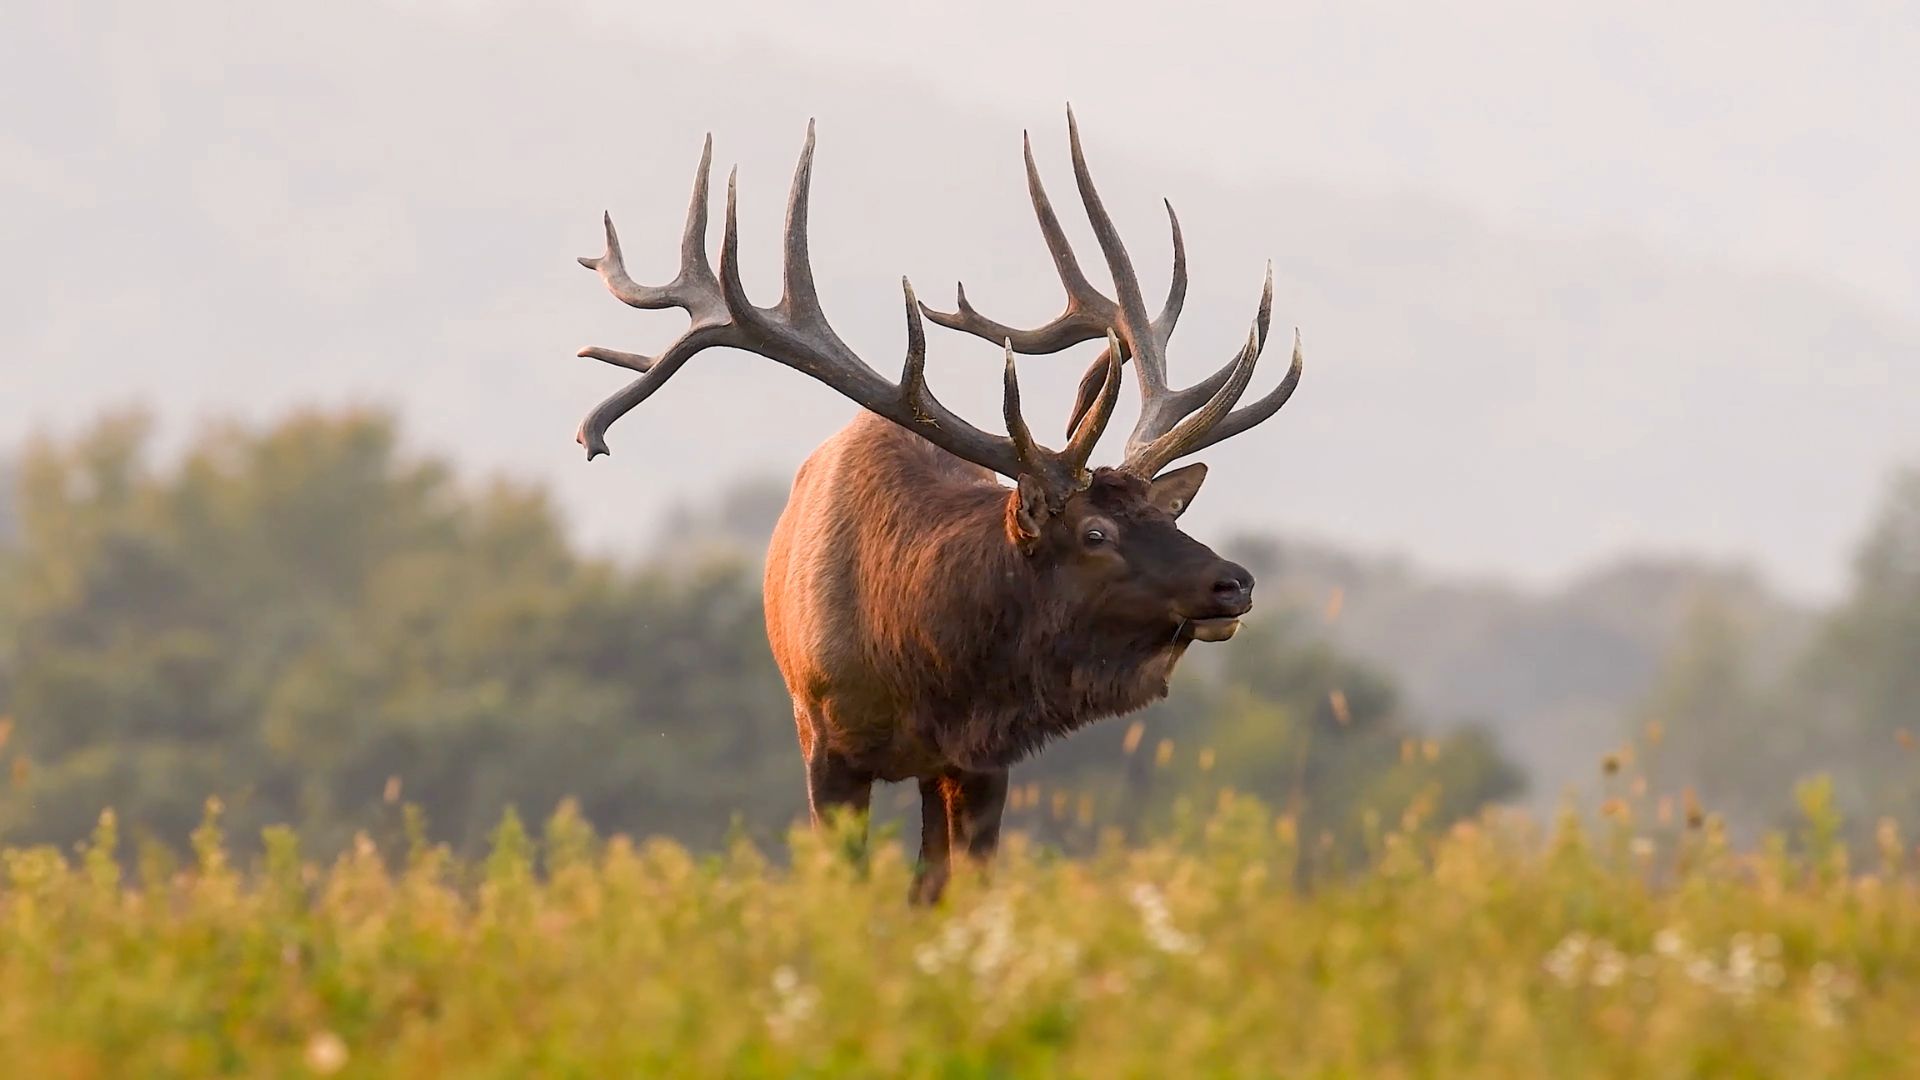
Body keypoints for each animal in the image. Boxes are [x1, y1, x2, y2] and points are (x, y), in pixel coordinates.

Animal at [571, 110, 1304, 903]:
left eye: (1170, 515)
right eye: (1095, 532)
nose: (1234, 582)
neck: (917, 662)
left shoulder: (982, 759)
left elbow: (957, 889)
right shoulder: (827, 743)